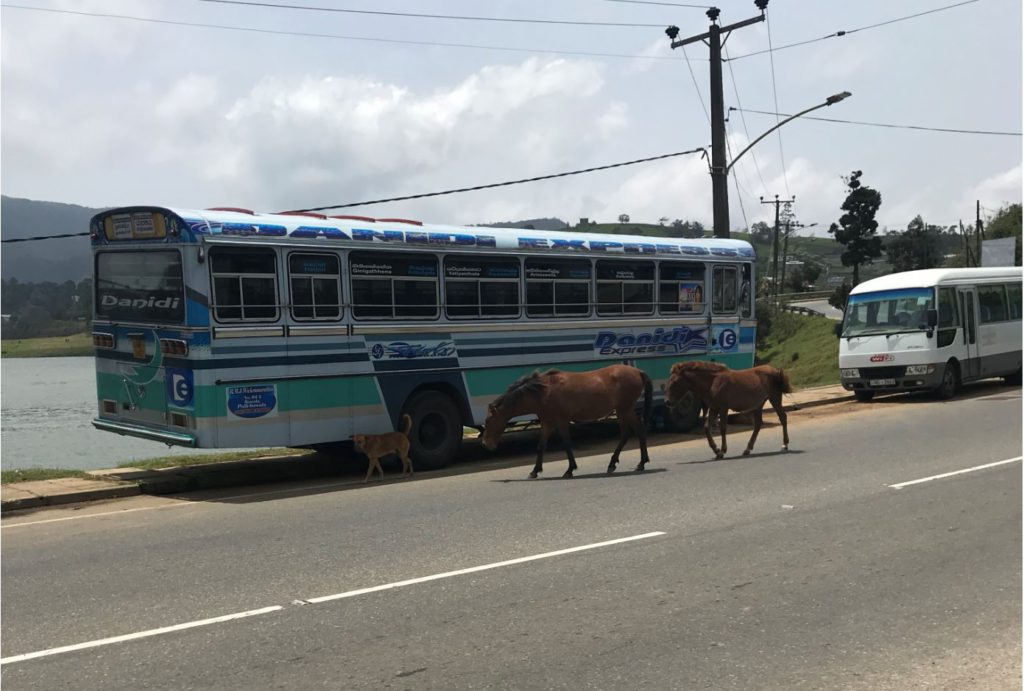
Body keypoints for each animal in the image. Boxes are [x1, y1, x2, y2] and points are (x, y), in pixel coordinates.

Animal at [481, 364, 655, 479]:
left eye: (489, 420)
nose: (486, 443)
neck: (545, 391)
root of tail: (638, 371)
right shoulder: (547, 423)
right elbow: (541, 446)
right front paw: (534, 471)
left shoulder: (561, 421)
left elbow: (566, 444)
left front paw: (570, 469)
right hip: (622, 411)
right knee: (626, 433)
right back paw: (615, 463)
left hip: (625, 409)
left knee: (637, 430)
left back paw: (640, 463)